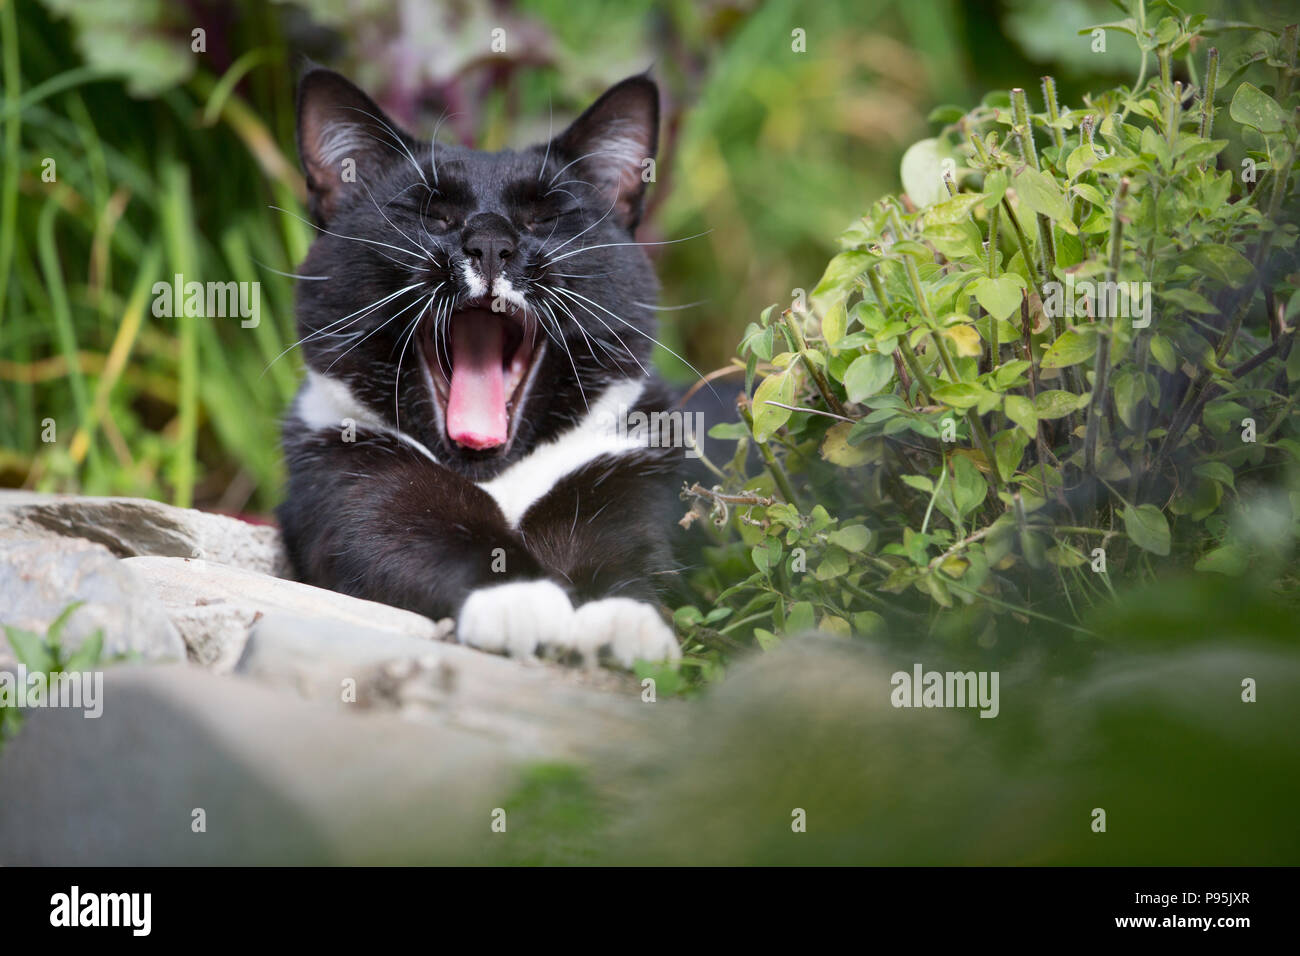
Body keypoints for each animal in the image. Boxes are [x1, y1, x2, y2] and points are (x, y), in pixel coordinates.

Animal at [278, 67, 686, 671]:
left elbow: (631, 552)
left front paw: (624, 621)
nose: (491, 244)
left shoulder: (627, 472)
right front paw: (518, 599)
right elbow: (405, 530)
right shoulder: (343, 474)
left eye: (545, 218)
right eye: (433, 215)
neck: (497, 474)